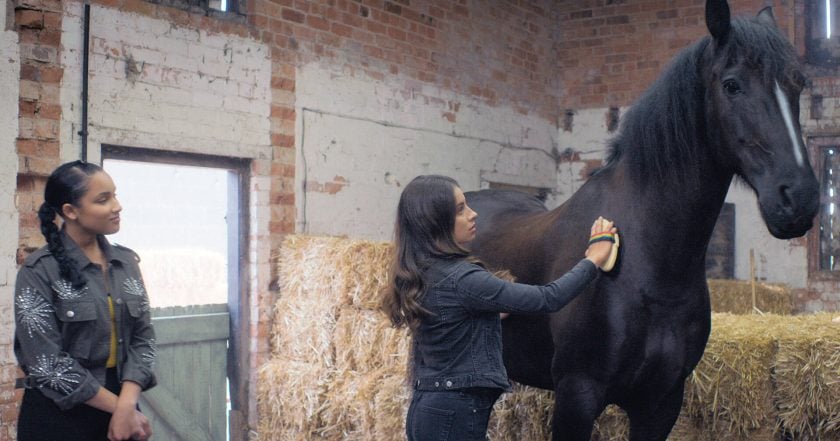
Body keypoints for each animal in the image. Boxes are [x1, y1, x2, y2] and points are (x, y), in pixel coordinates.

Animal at [466, 1, 820, 438]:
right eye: (732, 85)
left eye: (797, 85)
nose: (799, 199)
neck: (648, 264)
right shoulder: (577, 395)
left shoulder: (660, 402)